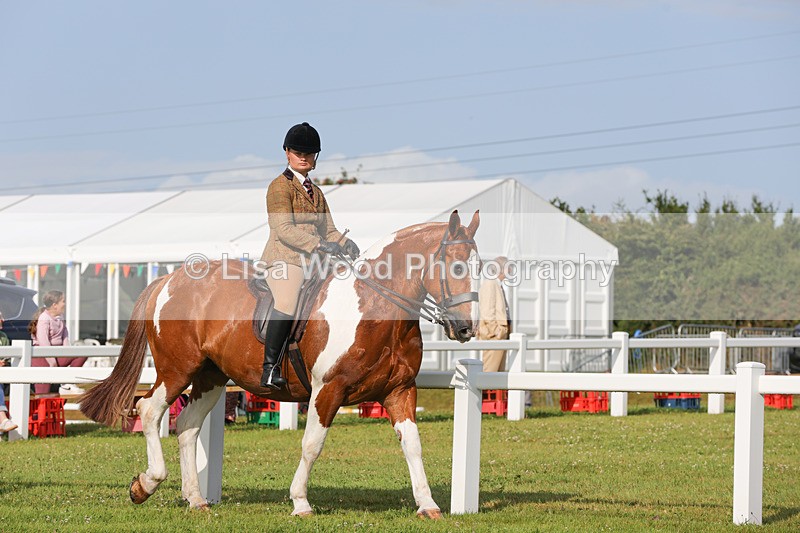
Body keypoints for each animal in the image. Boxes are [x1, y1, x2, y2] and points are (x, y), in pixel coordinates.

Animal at [80, 209, 481, 518]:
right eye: (457, 266)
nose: (466, 329)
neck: (375, 308)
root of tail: (168, 280)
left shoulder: (400, 391)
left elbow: (413, 445)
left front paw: (427, 504)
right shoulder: (327, 390)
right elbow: (312, 445)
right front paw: (300, 502)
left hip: (210, 377)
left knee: (189, 426)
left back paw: (195, 499)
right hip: (177, 369)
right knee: (149, 410)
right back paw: (145, 485)